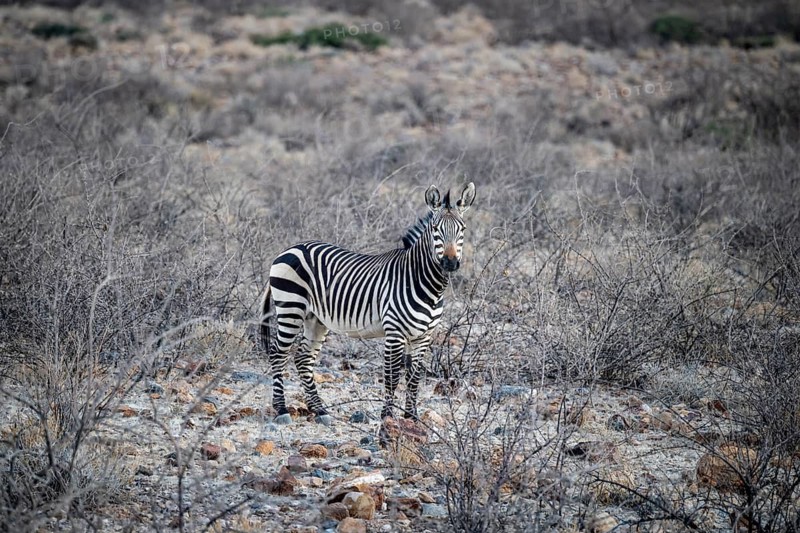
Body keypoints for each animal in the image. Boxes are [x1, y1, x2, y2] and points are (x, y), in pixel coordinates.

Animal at [259, 182, 476, 425]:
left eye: (462, 230)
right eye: (436, 230)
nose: (450, 263)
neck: (425, 284)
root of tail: (290, 249)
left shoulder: (423, 336)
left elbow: (414, 377)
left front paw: (411, 417)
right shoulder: (394, 333)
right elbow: (392, 377)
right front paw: (387, 416)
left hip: (315, 319)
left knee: (303, 358)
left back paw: (320, 410)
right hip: (291, 308)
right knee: (278, 354)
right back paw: (281, 409)